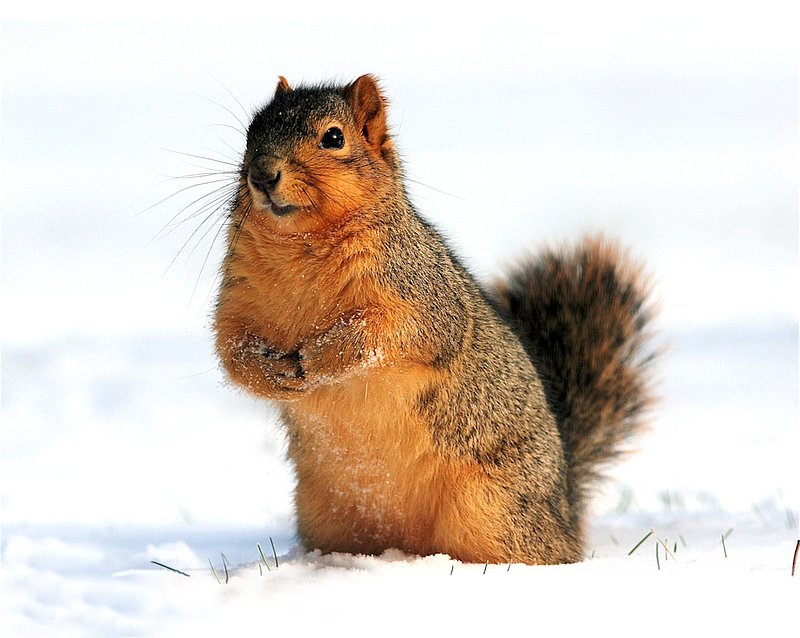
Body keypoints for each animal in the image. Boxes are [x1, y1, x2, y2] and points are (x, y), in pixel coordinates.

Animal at [213, 74, 655, 565]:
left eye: (333, 138)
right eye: (251, 133)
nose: (261, 175)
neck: (300, 246)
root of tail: (566, 507)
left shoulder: (420, 295)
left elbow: (387, 334)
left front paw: (321, 356)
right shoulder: (237, 298)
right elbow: (230, 348)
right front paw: (269, 371)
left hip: (491, 508)